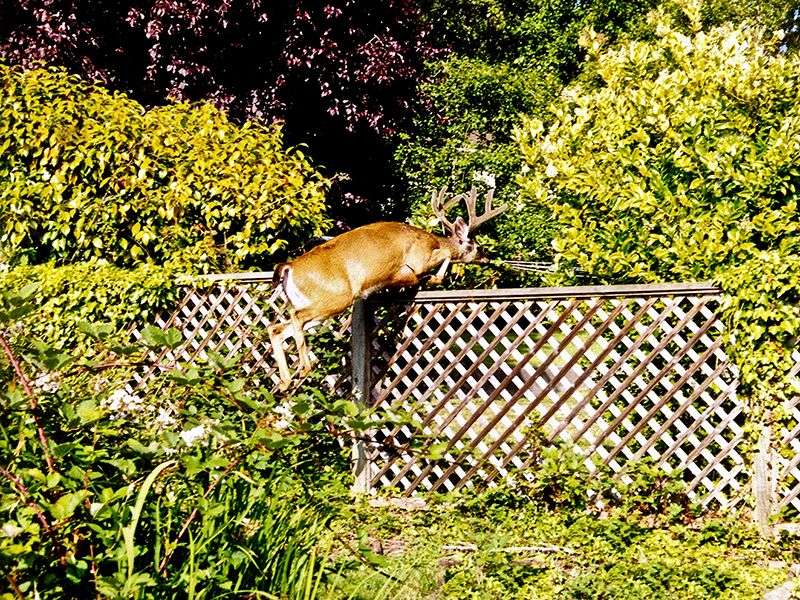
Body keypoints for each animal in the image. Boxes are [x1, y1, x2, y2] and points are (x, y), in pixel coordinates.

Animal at [268, 186, 507, 389]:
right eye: (476, 245)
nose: (487, 257)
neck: (430, 240)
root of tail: (289, 267)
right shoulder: (417, 261)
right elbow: (443, 258)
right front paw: (432, 278)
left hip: (319, 305)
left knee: (276, 327)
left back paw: (285, 381)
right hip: (334, 297)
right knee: (294, 317)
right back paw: (303, 368)